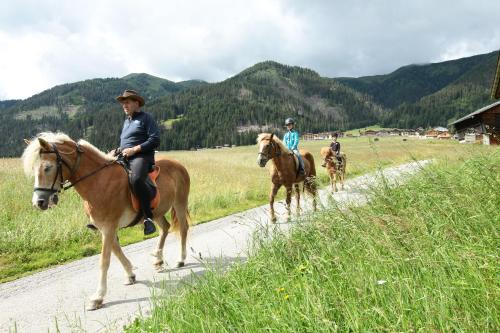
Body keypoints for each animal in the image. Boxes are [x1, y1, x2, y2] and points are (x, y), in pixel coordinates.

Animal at [21, 132, 190, 308]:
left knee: (183, 229)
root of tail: (178, 164)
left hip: (180, 203)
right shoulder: (105, 228)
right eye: (33, 169)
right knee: (165, 228)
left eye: (47, 167)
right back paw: (158, 259)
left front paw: (98, 297)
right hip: (156, 213)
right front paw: (130, 275)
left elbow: (104, 260)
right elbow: (116, 252)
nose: (39, 202)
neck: (98, 181)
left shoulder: (108, 227)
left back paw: (180, 259)